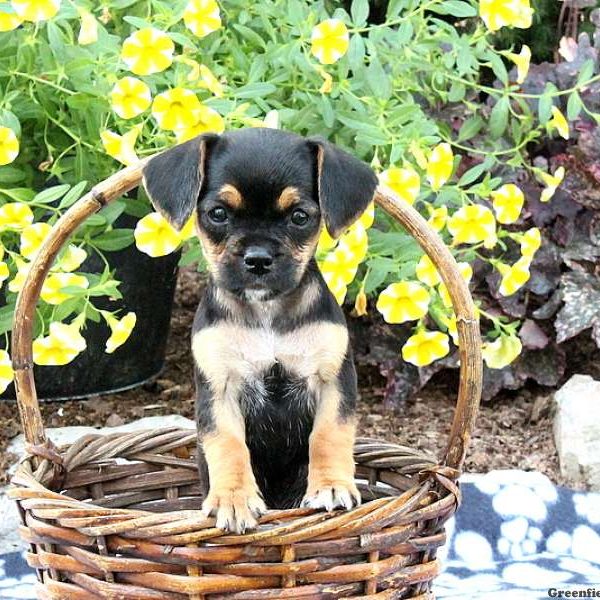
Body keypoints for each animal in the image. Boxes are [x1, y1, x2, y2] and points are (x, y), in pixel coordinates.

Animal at [143, 129, 378, 532]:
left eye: (299, 217)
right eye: (218, 214)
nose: (257, 259)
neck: (266, 313)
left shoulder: (334, 379)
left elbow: (329, 434)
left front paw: (331, 486)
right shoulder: (219, 388)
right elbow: (228, 445)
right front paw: (233, 500)